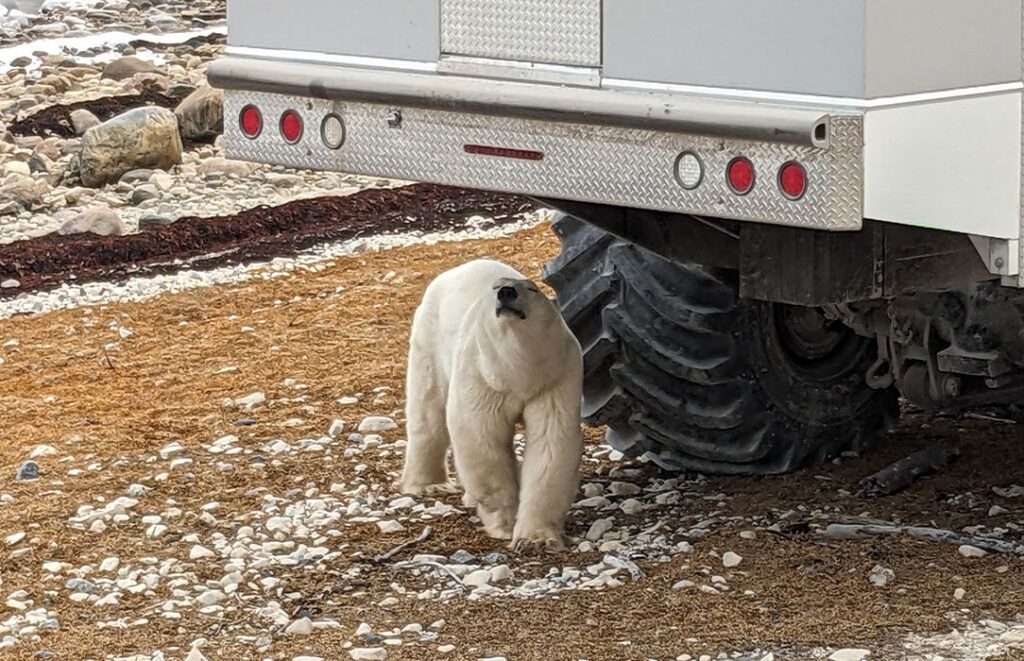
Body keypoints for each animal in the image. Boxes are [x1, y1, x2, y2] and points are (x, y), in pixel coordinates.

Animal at [400, 259, 584, 553]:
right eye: (496, 288)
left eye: (531, 289)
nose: (507, 293)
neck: (518, 367)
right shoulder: (482, 374)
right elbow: (481, 437)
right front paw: (505, 523)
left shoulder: (558, 377)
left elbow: (551, 442)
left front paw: (536, 539)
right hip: (429, 337)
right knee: (428, 411)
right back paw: (429, 485)